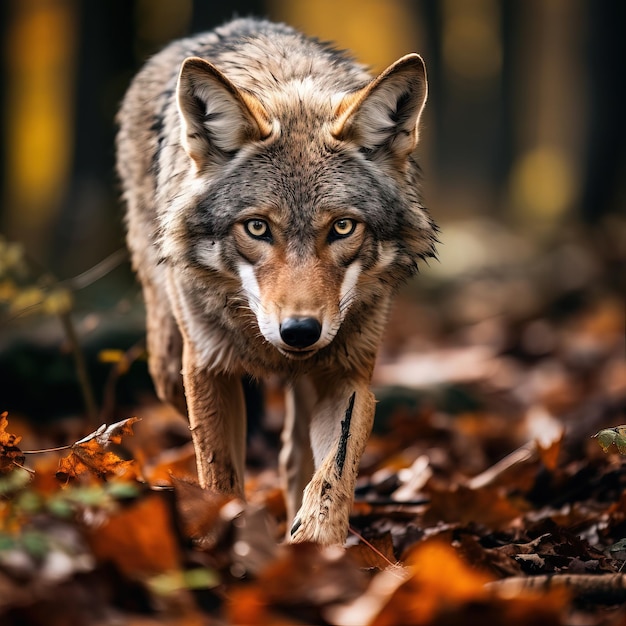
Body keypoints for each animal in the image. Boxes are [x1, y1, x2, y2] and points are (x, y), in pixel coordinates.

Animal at [118, 17, 438, 544]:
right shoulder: (206, 369)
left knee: (293, 458)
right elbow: (220, 478)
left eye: (343, 227)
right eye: (257, 227)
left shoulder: (347, 374)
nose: (300, 332)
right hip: (167, 365)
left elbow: (333, 473)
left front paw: (315, 546)